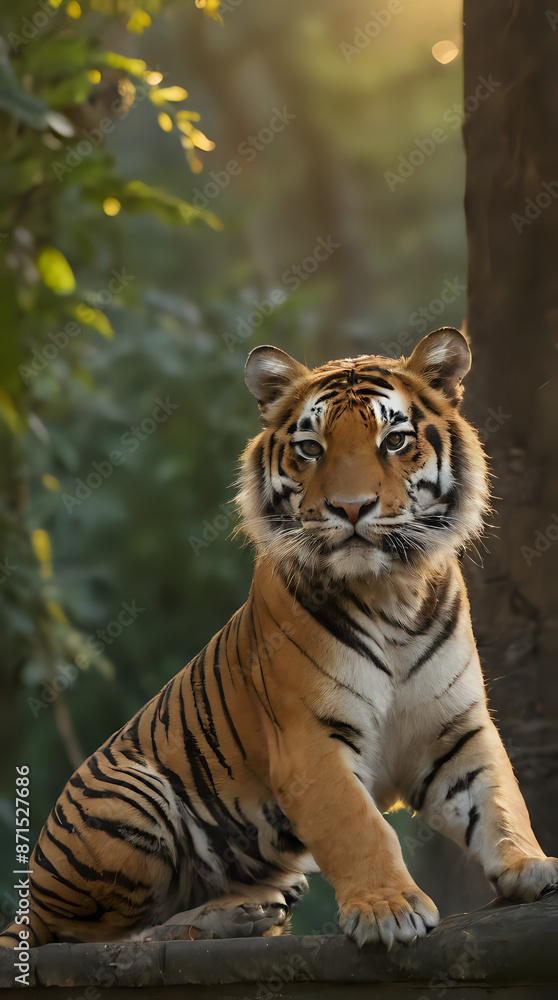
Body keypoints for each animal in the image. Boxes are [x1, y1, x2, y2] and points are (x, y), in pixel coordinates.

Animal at [1, 326, 556, 953]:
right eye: (310, 448)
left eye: (394, 441)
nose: (351, 508)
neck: (393, 591)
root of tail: (31, 901)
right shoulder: (310, 743)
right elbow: (359, 827)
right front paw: (389, 910)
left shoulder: (455, 730)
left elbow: (501, 799)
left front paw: (528, 867)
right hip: (131, 797)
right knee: (94, 940)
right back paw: (233, 917)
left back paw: (250, 909)